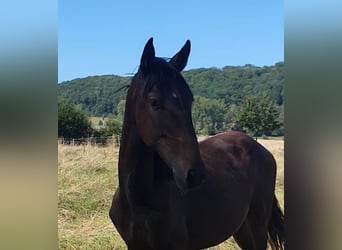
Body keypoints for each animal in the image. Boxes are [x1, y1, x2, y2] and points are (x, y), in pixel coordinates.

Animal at [109, 37, 284, 250]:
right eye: (154, 102)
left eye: (190, 100)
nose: (194, 174)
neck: (139, 201)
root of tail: (260, 149)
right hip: (241, 227)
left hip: (258, 222)